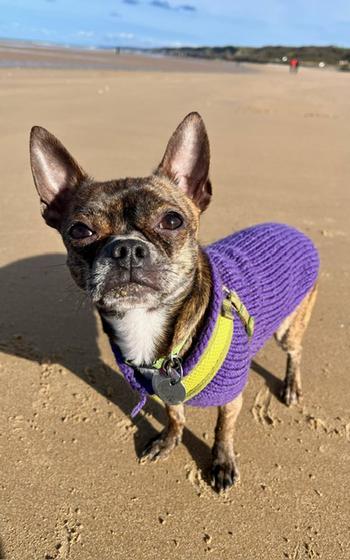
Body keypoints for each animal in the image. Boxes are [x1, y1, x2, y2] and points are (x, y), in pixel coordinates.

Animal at [30, 112, 318, 490]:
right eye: (79, 231)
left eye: (172, 221)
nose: (127, 248)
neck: (146, 320)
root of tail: (293, 229)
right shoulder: (163, 390)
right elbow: (174, 412)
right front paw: (170, 439)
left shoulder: (231, 398)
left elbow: (223, 429)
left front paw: (222, 462)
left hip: (290, 327)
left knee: (295, 352)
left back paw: (291, 386)